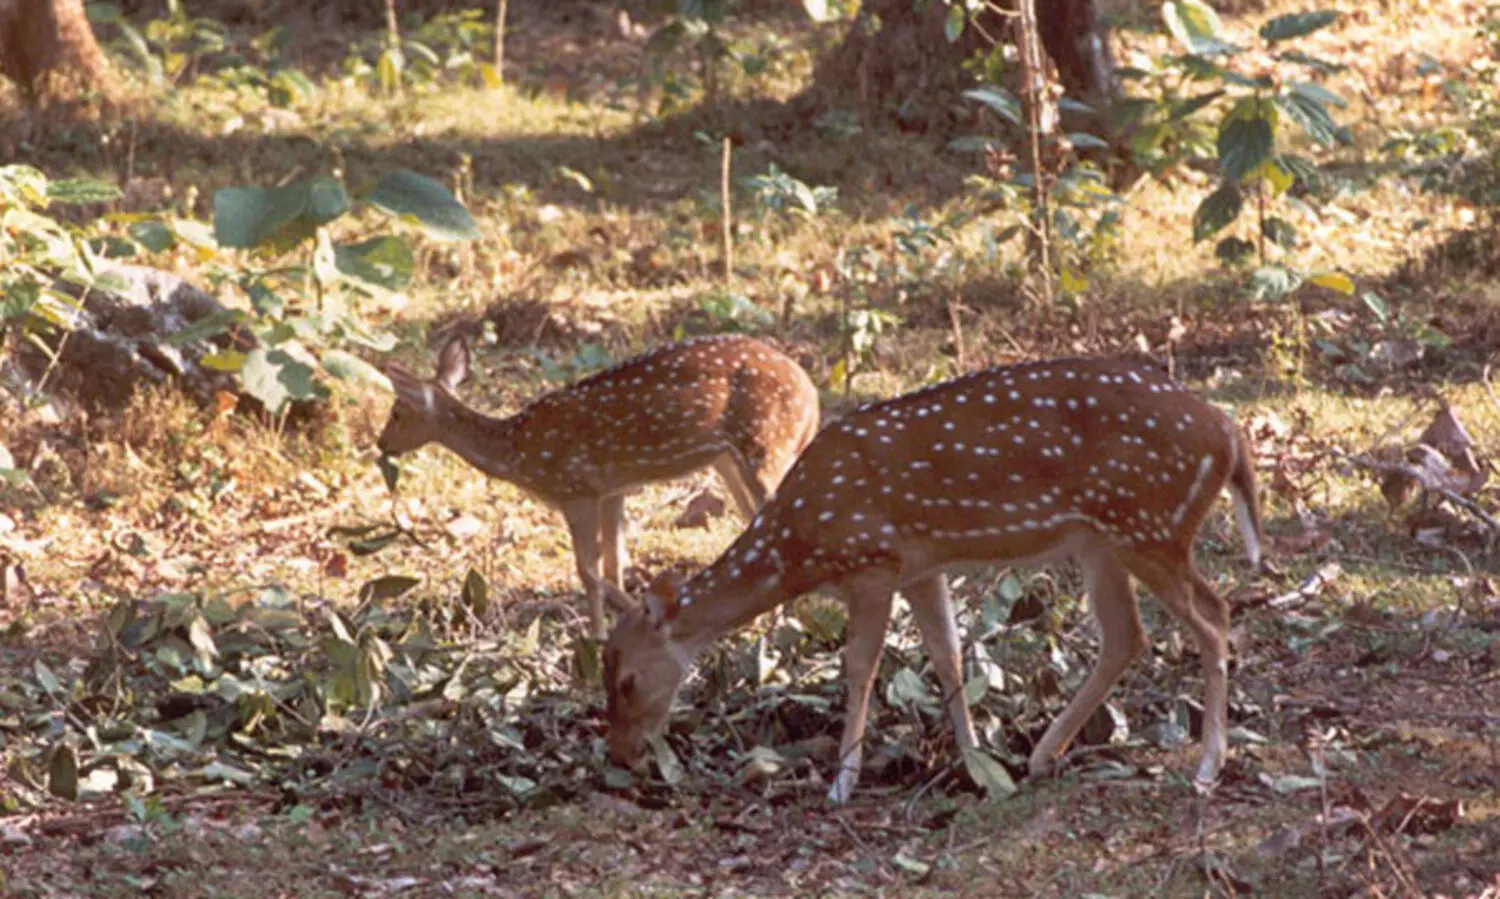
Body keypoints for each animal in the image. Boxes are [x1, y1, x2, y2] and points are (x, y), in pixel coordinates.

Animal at [377, 334, 822, 639]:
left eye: (397, 411)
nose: (381, 444)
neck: (520, 453)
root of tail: (813, 395)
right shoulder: (613, 490)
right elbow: (614, 564)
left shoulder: (576, 490)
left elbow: (587, 571)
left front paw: (599, 634)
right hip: (730, 460)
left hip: (766, 444)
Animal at [597, 356, 1263, 803]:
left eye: (627, 681)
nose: (623, 755)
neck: (800, 545)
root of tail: (1229, 436)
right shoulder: (922, 568)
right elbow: (948, 654)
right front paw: (974, 762)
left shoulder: (871, 562)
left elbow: (860, 666)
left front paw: (842, 782)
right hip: (1102, 539)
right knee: (1126, 636)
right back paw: (1041, 756)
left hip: (1149, 526)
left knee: (1214, 616)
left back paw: (1207, 766)